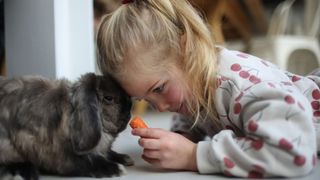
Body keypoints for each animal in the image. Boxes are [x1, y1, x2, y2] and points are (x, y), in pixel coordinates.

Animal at [0, 72, 133, 179]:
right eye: (108, 98)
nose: (130, 107)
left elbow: (107, 153)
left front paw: (125, 158)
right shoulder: (63, 157)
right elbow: (89, 162)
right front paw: (117, 169)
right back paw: (26, 173)